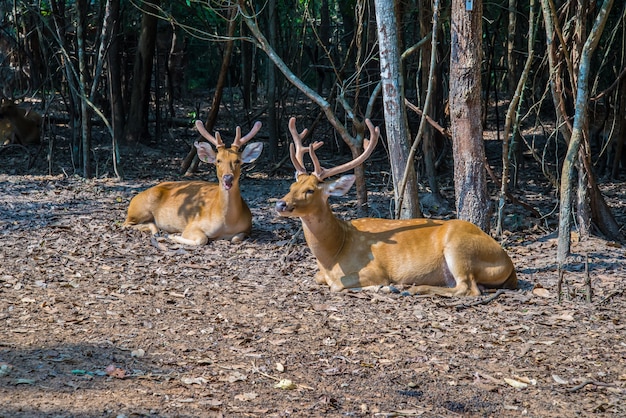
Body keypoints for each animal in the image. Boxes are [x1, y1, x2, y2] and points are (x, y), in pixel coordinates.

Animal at [123, 120, 262, 245]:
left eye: (237, 160)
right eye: (218, 160)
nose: (228, 178)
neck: (226, 224)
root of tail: (134, 199)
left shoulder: (247, 228)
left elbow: (236, 238)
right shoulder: (193, 224)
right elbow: (202, 239)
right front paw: (173, 236)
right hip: (139, 209)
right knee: (125, 224)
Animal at [274, 116, 516, 296]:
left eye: (310, 190)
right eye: (292, 184)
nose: (280, 204)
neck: (333, 254)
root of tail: (509, 264)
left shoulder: (373, 269)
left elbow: (339, 285)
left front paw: (385, 287)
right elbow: (319, 279)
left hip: (459, 248)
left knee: (467, 288)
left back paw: (411, 288)